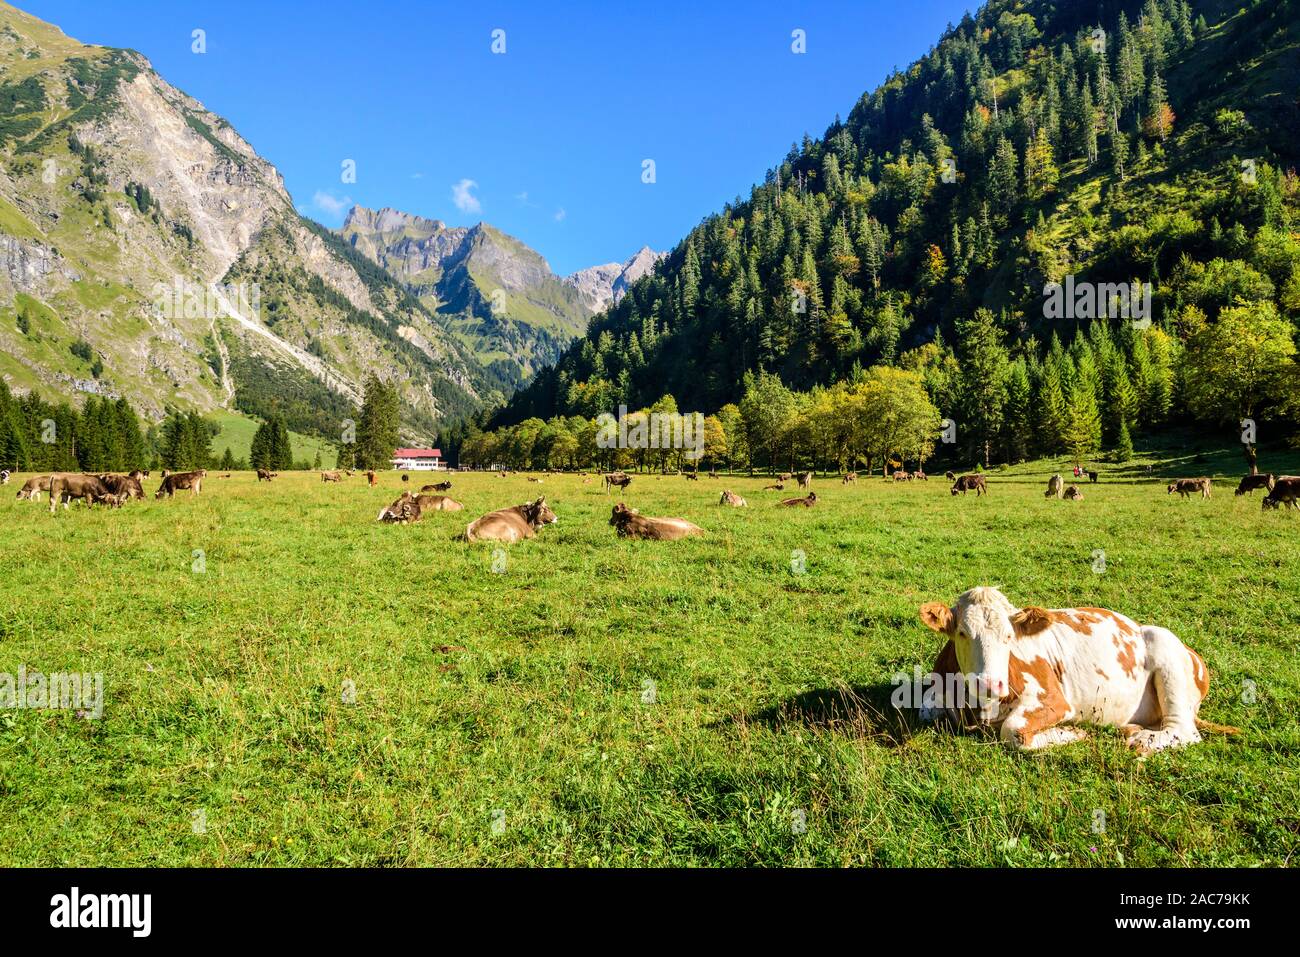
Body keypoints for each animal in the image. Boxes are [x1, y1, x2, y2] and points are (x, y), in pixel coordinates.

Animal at [915, 582, 1237, 754]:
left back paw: (1140, 739)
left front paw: (1072, 734)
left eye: (1009, 637)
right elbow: (927, 708)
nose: (992, 684)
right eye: (962, 633)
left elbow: (1013, 730)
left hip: (1166, 651)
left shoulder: (1055, 700)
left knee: (1184, 730)